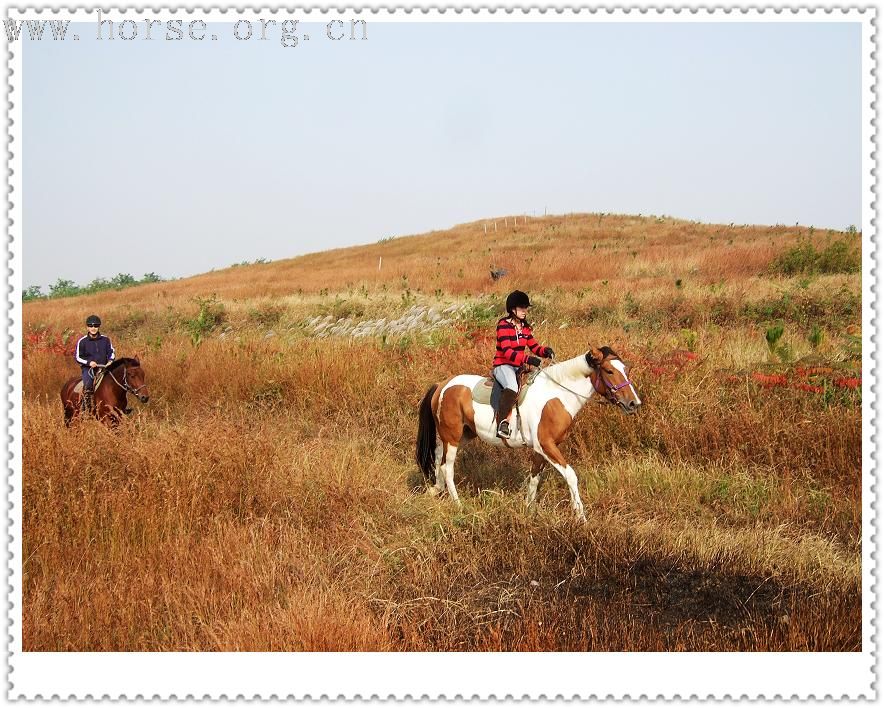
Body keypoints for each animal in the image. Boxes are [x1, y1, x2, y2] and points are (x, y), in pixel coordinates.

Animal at [418, 348, 640, 520]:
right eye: (609, 371)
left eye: (626, 370)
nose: (634, 403)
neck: (556, 396)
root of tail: (442, 384)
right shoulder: (546, 445)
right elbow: (571, 475)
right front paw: (581, 517)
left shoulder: (541, 450)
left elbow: (534, 479)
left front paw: (529, 511)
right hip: (452, 437)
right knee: (447, 467)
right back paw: (459, 505)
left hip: (459, 436)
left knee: (438, 458)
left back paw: (436, 490)